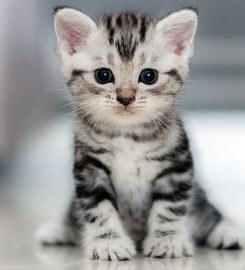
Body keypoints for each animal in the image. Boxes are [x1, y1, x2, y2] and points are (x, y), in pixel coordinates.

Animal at [36, 6, 245, 260]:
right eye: (103, 75)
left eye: (148, 76)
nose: (126, 98)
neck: (128, 135)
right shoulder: (89, 166)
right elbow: (99, 208)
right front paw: (109, 242)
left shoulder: (177, 163)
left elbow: (169, 208)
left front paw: (167, 240)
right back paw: (58, 229)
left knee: (205, 211)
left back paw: (227, 231)